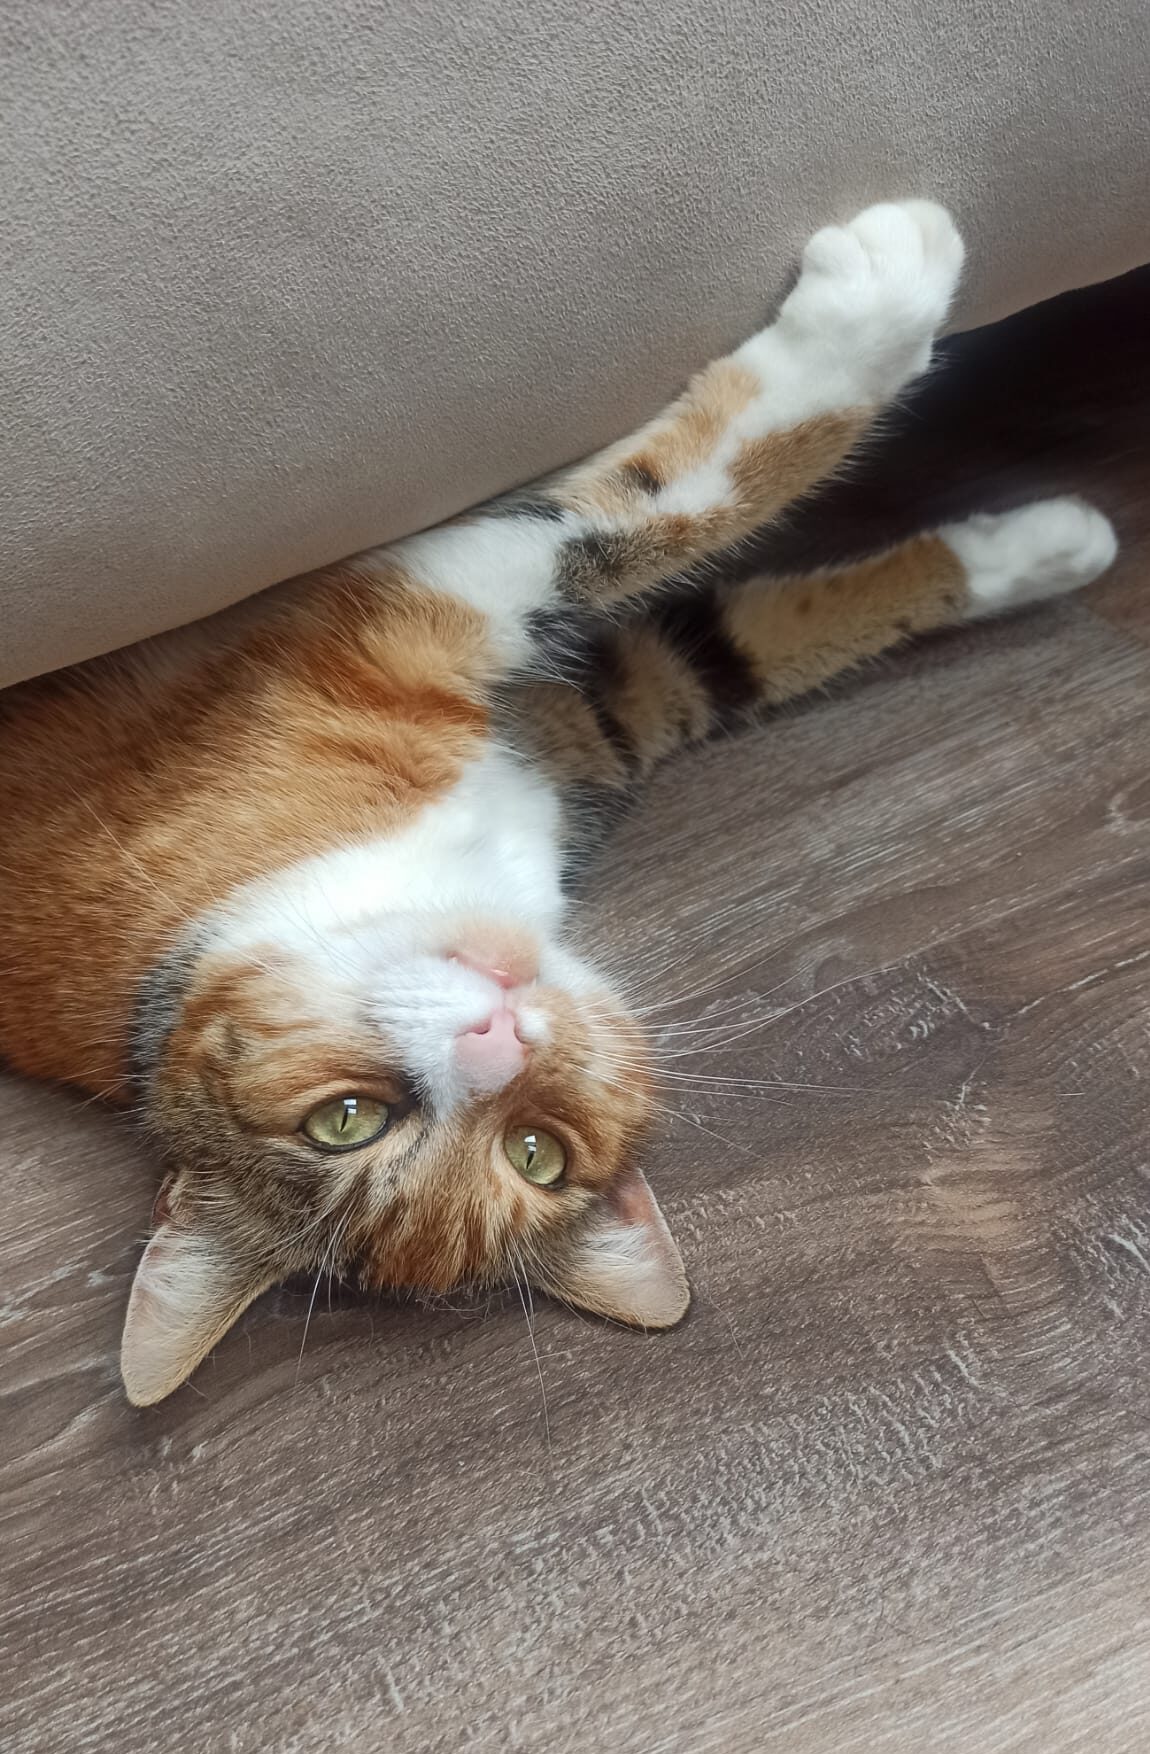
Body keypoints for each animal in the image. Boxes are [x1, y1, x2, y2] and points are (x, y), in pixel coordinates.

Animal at [0, 202, 1117, 1405]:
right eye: (348, 1124)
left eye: (533, 1150)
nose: (498, 1036)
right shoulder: (400, 620)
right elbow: (646, 511)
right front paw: (879, 295)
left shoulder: (551, 721)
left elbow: (711, 650)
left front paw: (1043, 547)